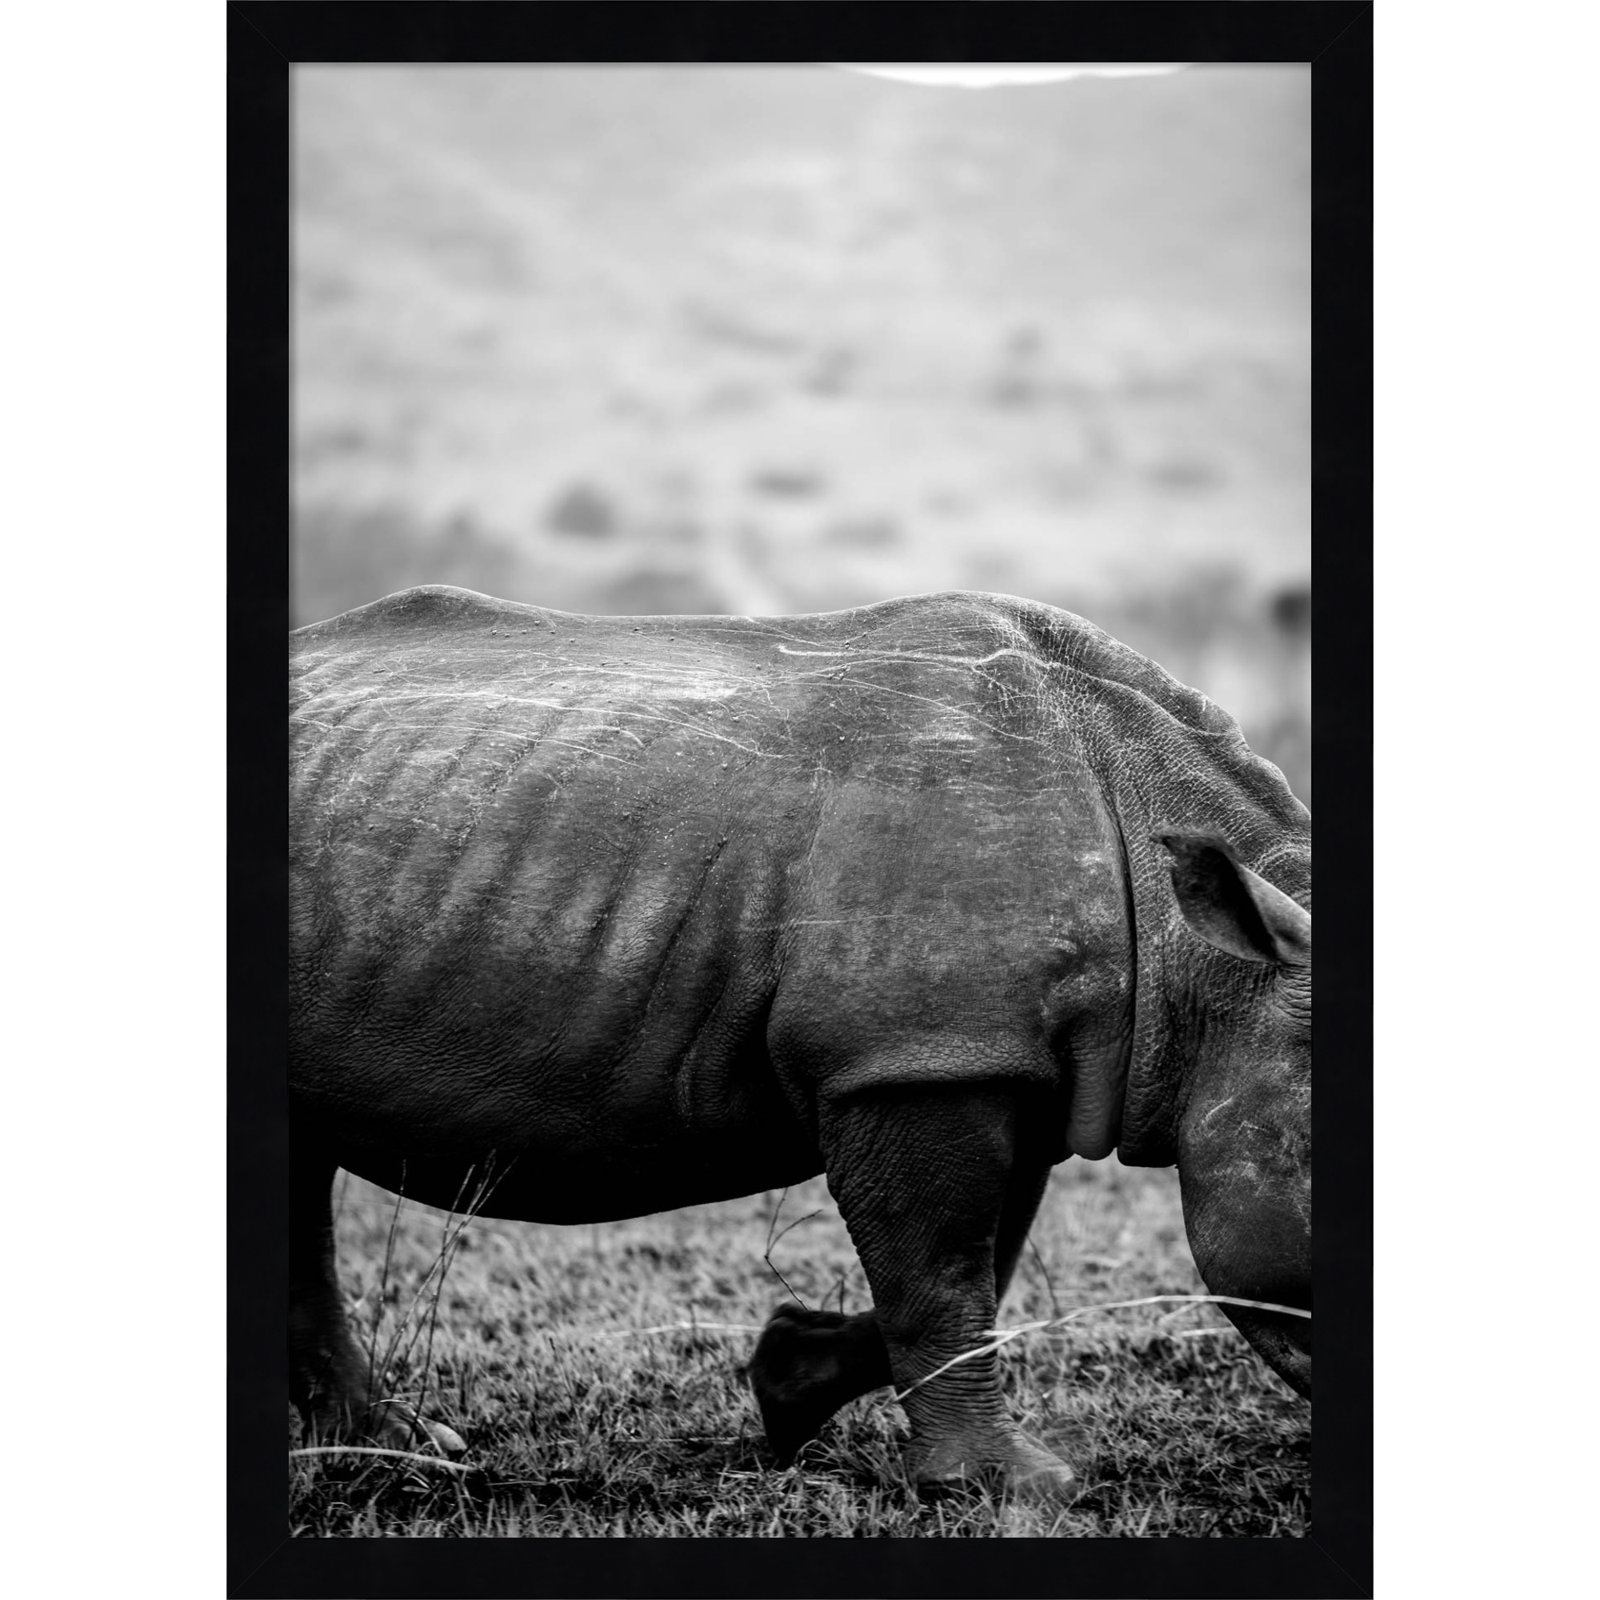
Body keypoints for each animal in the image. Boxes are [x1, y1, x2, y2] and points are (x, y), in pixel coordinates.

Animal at [289, 585, 1311, 1497]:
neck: (1205, 967)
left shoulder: (991, 1057)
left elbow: (983, 1260)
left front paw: (790, 1385)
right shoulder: (912, 1058)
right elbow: (943, 1270)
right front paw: (1007, 1485)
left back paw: (388, 1444)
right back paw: (399, 1449)